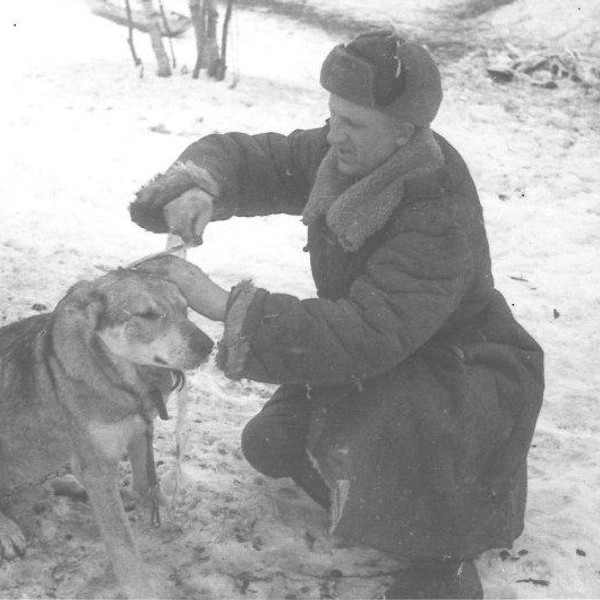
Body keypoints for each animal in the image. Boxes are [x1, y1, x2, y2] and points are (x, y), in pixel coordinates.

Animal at [0, 270, 213, 596]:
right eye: (147, 314)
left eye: (185, 309)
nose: (209, 345)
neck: (120, 380)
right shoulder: (96, 466)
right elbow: (123, 547)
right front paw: (142, 591)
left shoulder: (139, 429)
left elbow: (144, 483)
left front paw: (156, 507)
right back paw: (8, 531)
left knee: (50, 484)